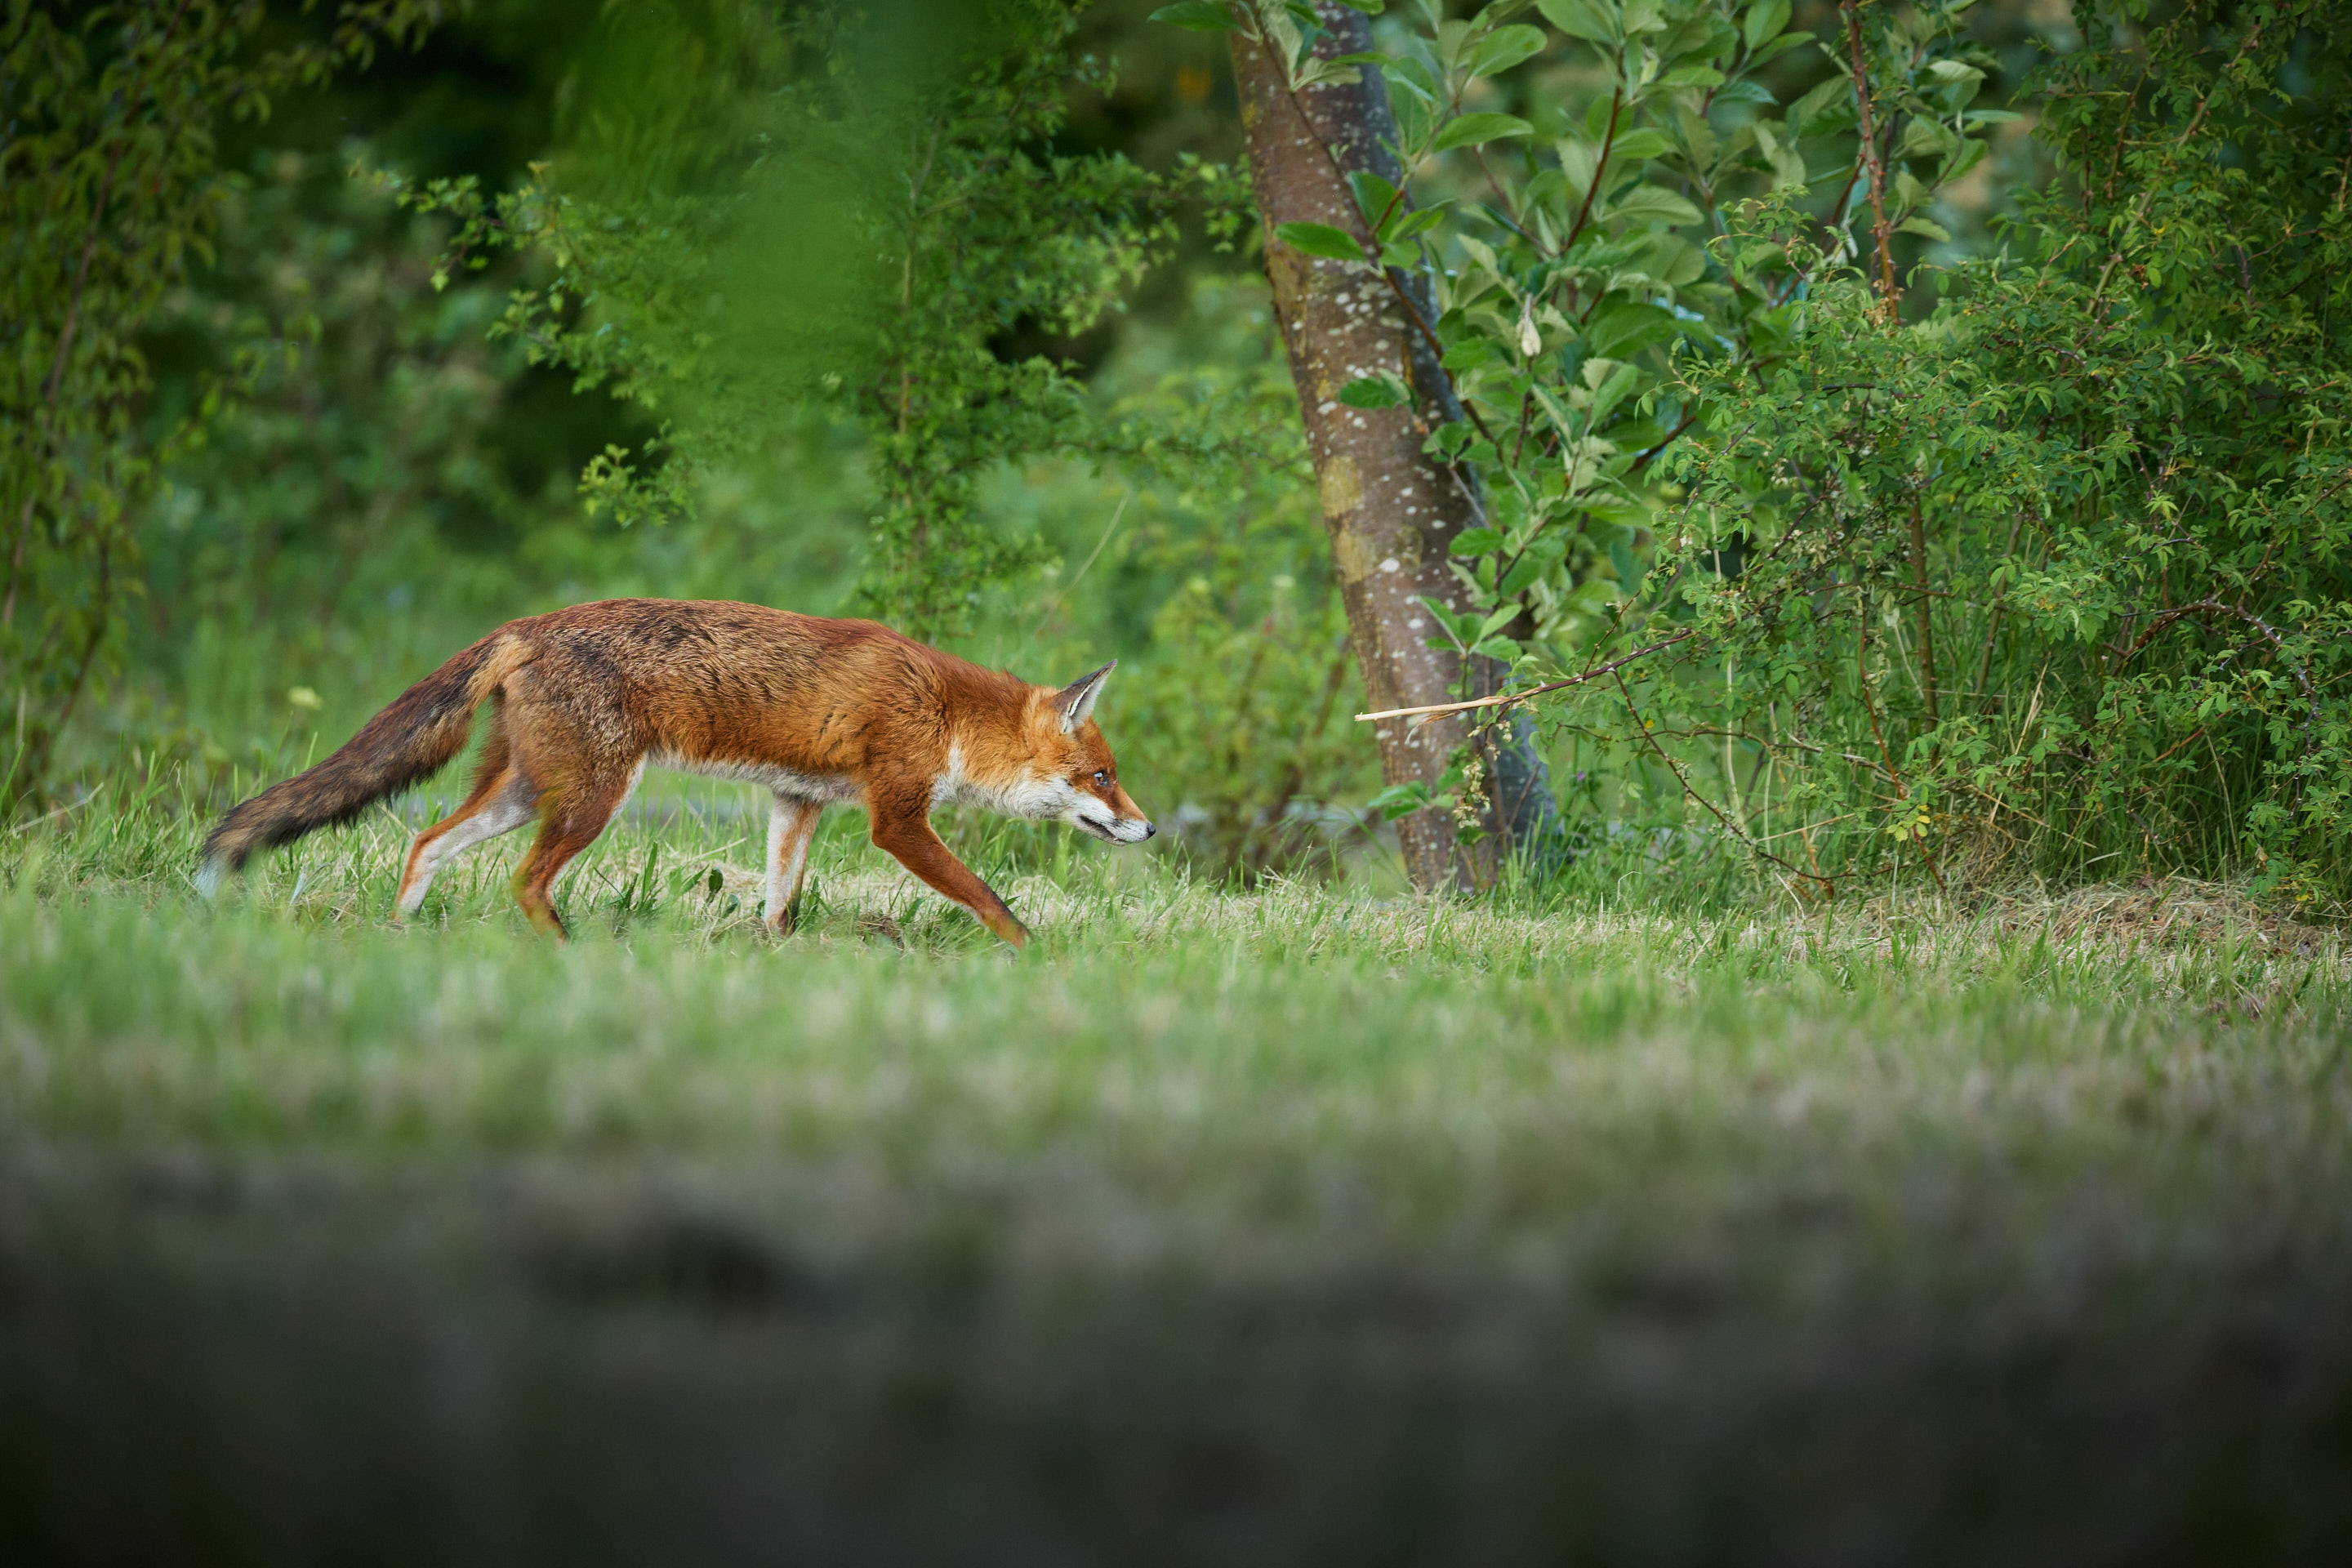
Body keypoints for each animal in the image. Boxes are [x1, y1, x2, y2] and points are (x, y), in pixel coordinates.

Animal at [197, 599, 1154, 946]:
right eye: (1103, 777)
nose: (1148, 827)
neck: (946, 712)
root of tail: (524, 625)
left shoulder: (797, 803)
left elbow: (779, 904)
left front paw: (773, 961)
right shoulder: (897, 818)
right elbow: (990, 897)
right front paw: (1038, 959)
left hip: (523, 793)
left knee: (427, 843)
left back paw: (398, 939)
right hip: (590, 800)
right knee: (523, 882)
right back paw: (569, 958)